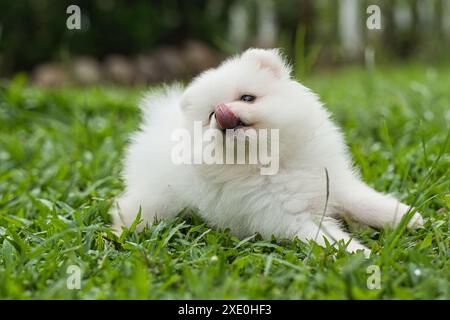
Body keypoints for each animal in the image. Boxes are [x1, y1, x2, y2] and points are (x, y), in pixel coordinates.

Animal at [110, 48, 424, 256]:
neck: (270, 161)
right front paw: (363, 256)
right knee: (126, 209)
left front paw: (405, 217)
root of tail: (153, 124)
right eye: (210, 115)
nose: (223, 113)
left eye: (247, 98)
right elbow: (329, 237)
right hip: (154, 199)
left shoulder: (332, 183)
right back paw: (120, 234)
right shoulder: (284, 216)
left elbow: (365, 201)